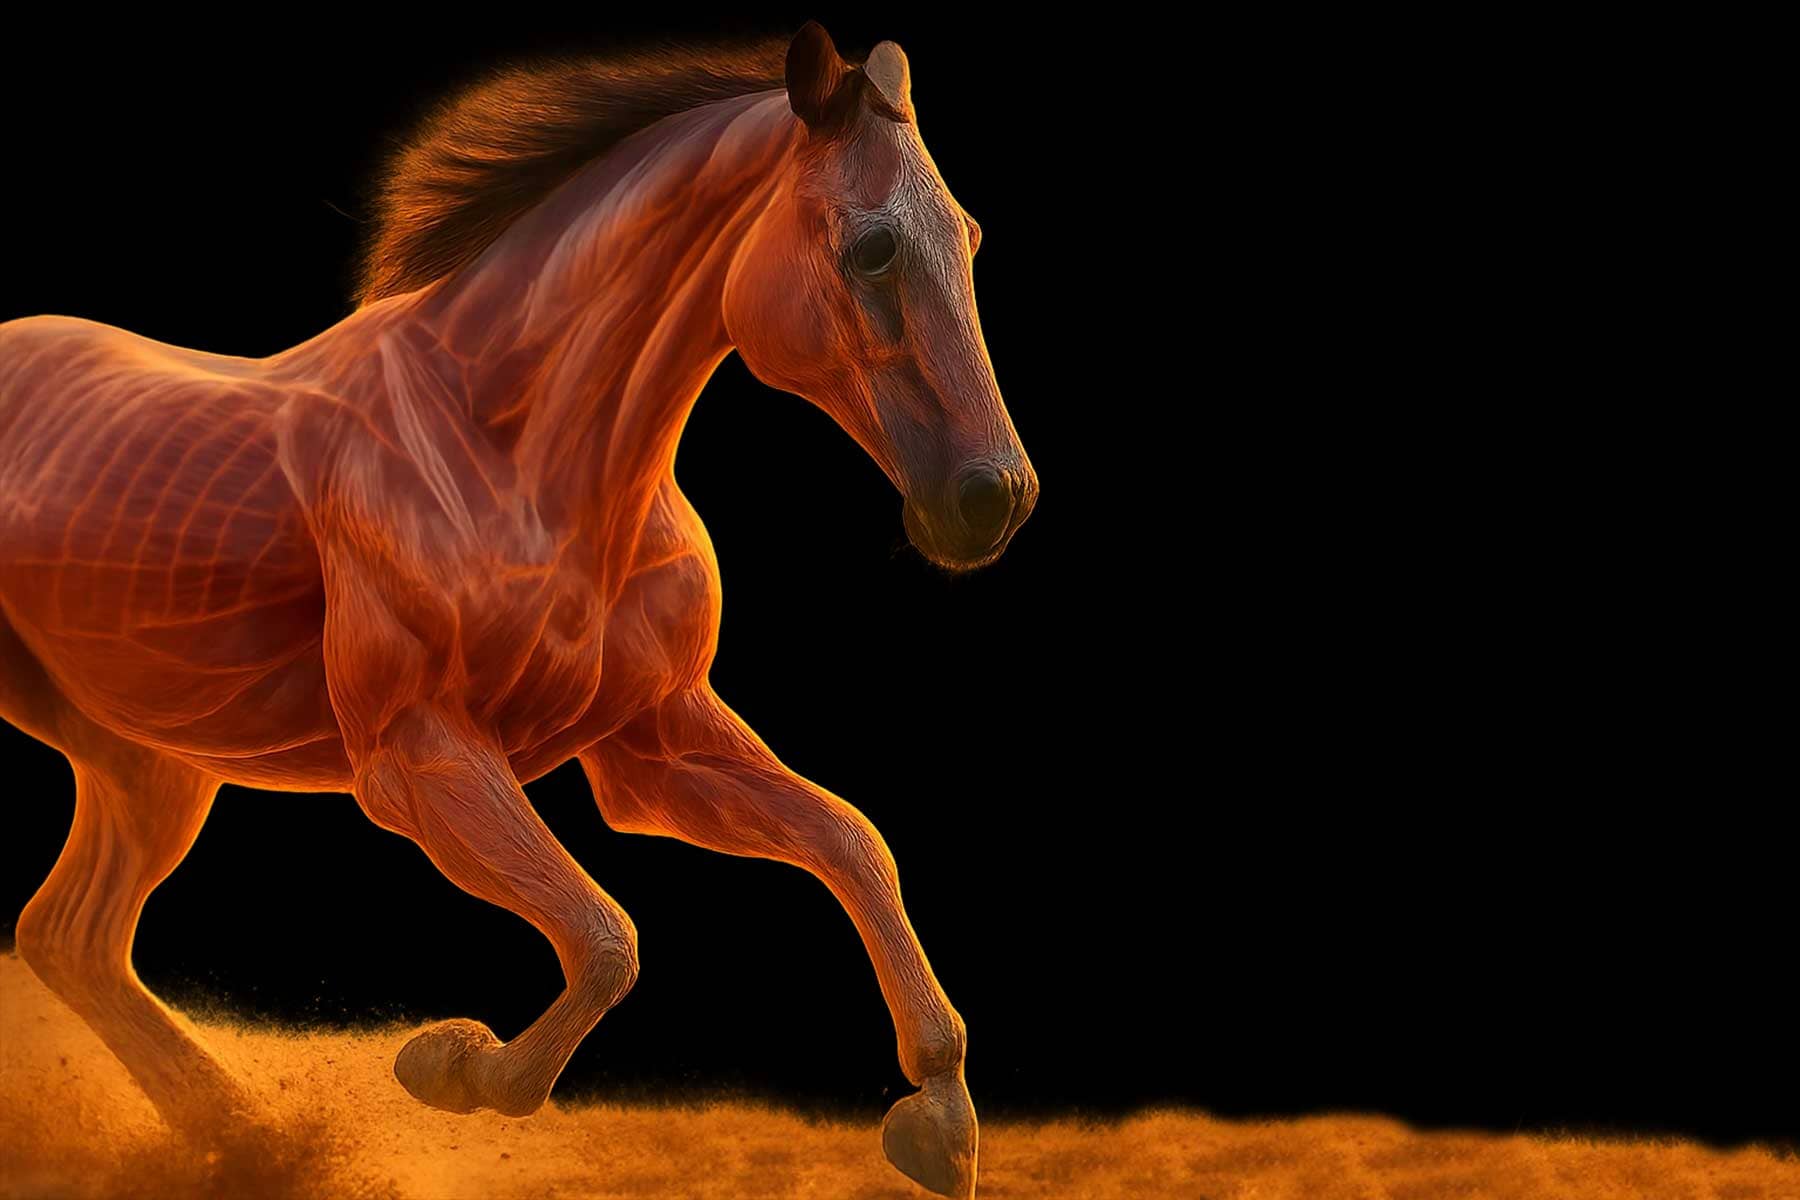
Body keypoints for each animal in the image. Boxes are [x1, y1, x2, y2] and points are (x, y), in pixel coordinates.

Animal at [0, 22, 1034, 1199]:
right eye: (873, 249)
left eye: (968, 235)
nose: (993, 498)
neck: (516, 453)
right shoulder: (418, 757)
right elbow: (605, 936)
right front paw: (450, 1063)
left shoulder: (652, 743)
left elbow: (854, 843)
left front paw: (939, 1123)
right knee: (71, 937)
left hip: (149, 765)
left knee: (71, 937)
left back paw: (248, 1139)